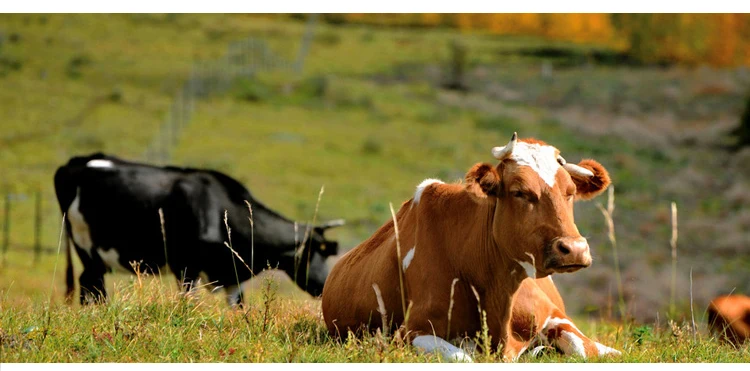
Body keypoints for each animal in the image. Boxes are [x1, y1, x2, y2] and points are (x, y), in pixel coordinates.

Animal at [54, 153, 346, 306]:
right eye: (319, 253)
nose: (327, 285)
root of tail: (77, 162)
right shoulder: (186, 266)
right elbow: (188, 300)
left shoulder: (231, 277)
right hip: (86, 246)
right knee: (92, 285)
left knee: (89, 284)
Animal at [324, 134, 616, 364]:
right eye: (519, 192)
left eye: (570, 191)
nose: (574, 248)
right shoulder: (413, 330)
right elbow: (462, 356)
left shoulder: (553, 314)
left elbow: (587, 349)